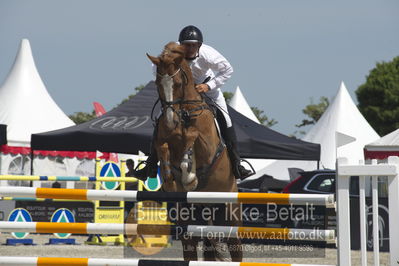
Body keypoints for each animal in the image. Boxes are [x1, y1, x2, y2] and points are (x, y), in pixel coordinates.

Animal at [146, 42, 242, 260]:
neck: (184, 112)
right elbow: (163, 148)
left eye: (178, 84)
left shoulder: (206, 145)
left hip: (229, 213)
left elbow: (192, 136)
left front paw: (189, 175)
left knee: (236, 247)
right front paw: (170, 180)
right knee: (194, 245)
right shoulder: (163, 140)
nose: (171, 121)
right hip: (191, 220)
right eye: (157, 84)